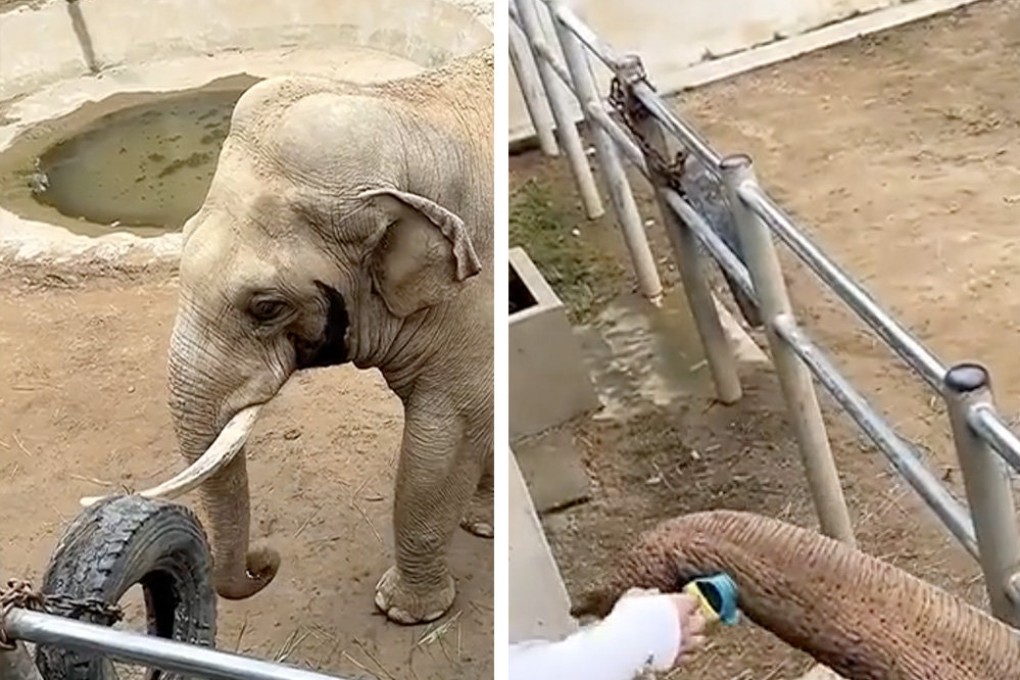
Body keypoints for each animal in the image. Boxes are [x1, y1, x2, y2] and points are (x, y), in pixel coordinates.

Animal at [164, 47, 494, 625]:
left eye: (266, 306)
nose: (266, 559)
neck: (405, 107)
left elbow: (443, 440)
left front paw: (404, 613)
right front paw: (481, 527)